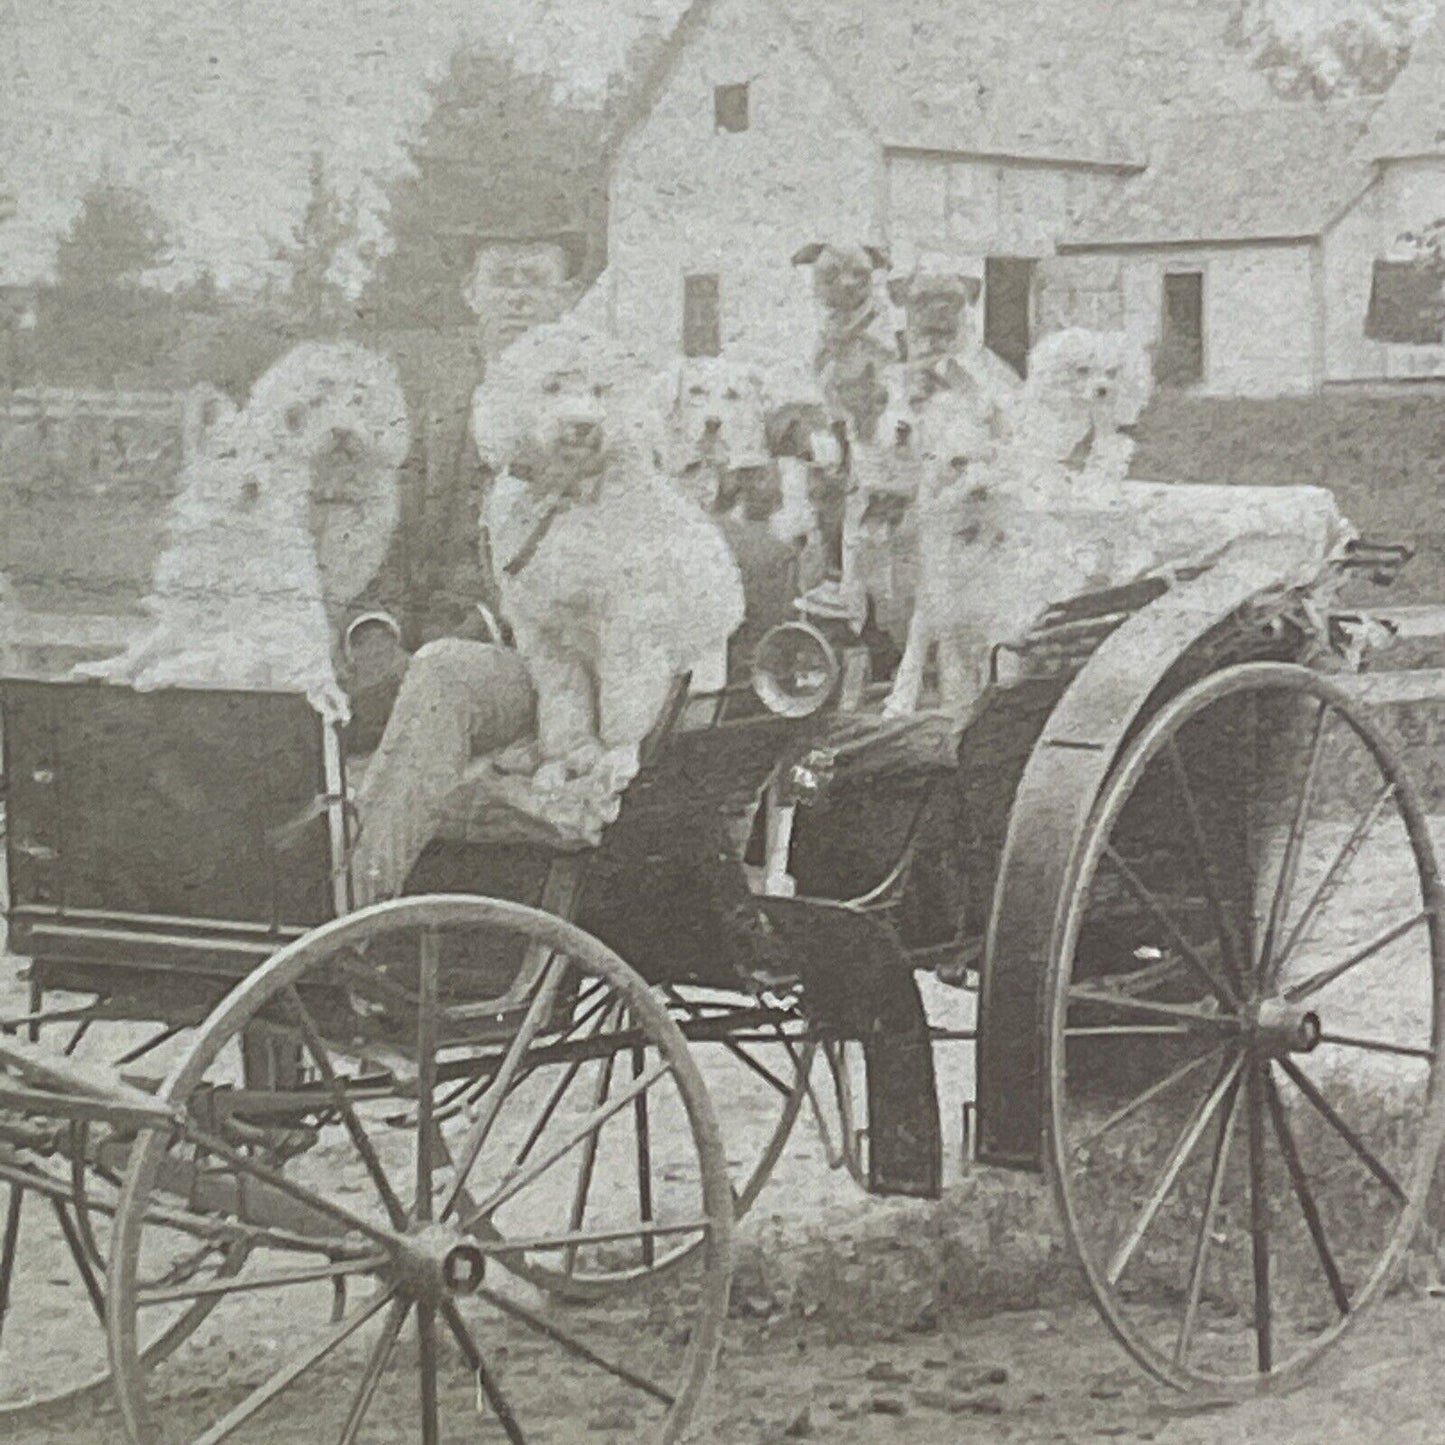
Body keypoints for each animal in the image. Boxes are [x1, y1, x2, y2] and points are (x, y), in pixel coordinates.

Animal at [76, 339, 410, 722]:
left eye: (358, 400)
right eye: (227, 455)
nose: (251, 486)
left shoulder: (255, 637)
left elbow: (208, 658)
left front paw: (156, 673)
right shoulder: (185, 618)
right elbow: (147, 645)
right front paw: (107, 667)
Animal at [473, 319, 745, 803]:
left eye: (602, 390)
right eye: (551, 386)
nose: (583, 425)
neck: (570, 492)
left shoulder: (631, 628)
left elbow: (626, 702)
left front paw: (615, 762)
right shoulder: (545, 637)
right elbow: (563, 707)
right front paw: (559, 765)